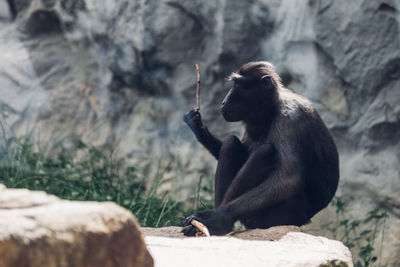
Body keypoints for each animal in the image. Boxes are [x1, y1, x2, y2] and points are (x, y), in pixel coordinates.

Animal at [183, 61, 340, 237]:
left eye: (237, 84)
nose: (223, 102)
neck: (272, 108)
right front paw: (198, 126)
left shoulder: (291, 119)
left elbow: (289, 178)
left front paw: (217, 218)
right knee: (231, 143)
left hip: (282, 215)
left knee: (265, 152)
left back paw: (218, 225)